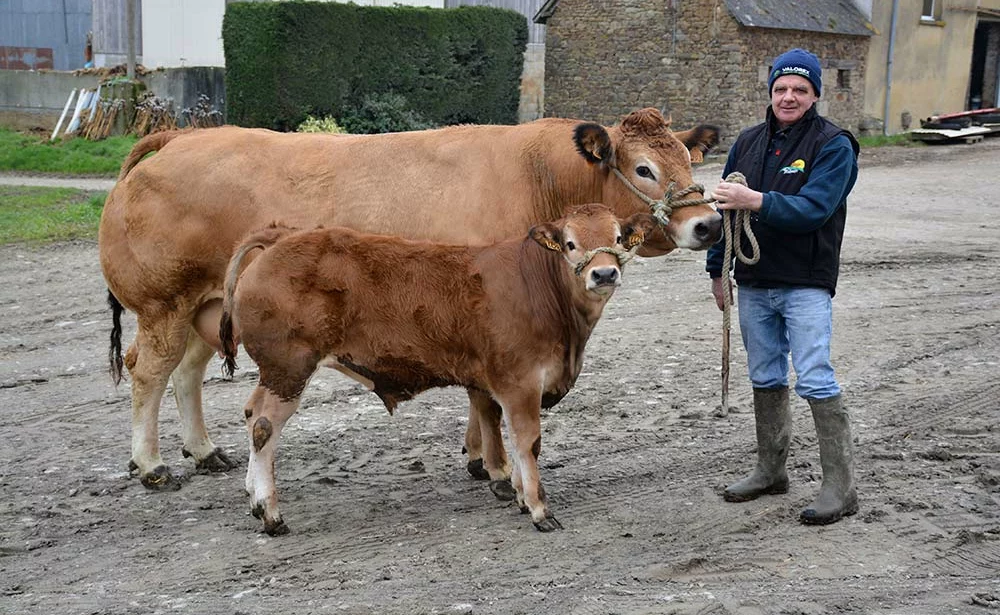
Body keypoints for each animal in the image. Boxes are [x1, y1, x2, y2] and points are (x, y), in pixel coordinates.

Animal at [99, 107, 720, 490]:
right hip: (164, 305)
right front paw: (492, 466)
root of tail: (182, 137)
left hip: (206, 308)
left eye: (690, 161)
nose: (710, 224)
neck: (537, 175)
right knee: (149, 371)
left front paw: (477, 457)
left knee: (186, 373)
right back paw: (151, 464)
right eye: (644, 167)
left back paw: (204, 450)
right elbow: (485, 400)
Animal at [220, 206, 656, 536]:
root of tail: (281, 239)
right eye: (569, 243)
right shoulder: (520, 382)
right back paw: (270, 512)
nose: (603, 273)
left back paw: (252, 497)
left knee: (250, 414)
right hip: (289, 369)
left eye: (618, 238)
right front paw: (537, 508)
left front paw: (516, 493)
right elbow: (526, 442)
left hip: (275, 372)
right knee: (264, 427)